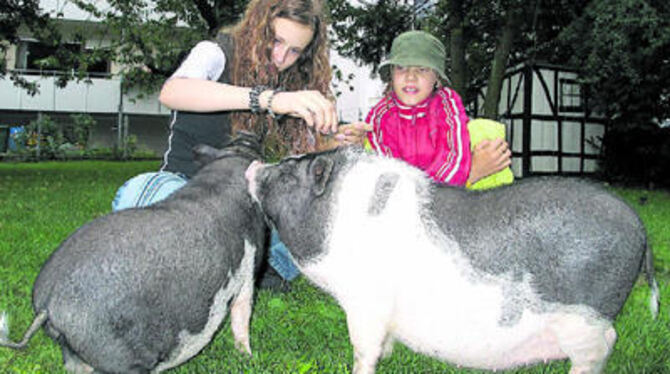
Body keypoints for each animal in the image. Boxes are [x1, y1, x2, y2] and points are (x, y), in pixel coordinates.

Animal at [0, 133, 268, 374]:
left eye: (240, 142)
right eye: (252, 147)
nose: (249, 133)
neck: (227, 167)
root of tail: (48, 303)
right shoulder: (247, 269)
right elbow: (242, 315)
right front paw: (248, 356)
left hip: (73, 351)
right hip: (118, 355)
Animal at [247, 146, 660, 374]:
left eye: (288, 172)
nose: (253, 166)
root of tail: (639, 227)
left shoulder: (366, 304)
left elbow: (364, 348)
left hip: (587, 323)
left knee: (604, 345)